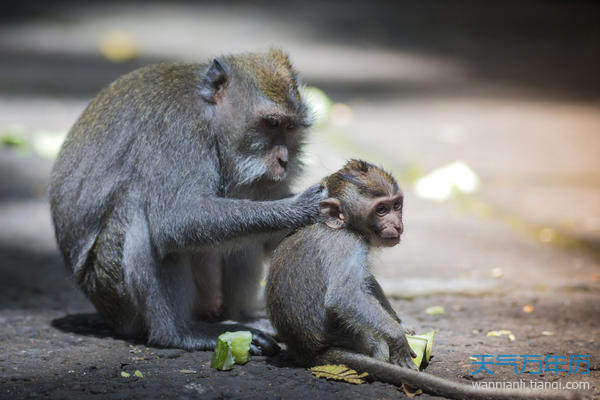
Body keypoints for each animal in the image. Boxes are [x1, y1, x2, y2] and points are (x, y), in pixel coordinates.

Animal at [49, 48, 326, 354]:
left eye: (291, 128)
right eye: (272, 123)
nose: (284, 160)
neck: (209, 114)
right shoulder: (178, 130)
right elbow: (176, 219)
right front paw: (300, 207)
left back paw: (240, 317)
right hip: (114, 295)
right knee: (141, 211)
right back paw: (179, 334)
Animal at [268, 160, 576, 400]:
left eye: (396, 205)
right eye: (381, 210)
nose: (396, 224)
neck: (344, 226)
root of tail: (308, 351)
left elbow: (366, 281)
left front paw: (400, 324)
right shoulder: (346, 244)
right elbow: (344, 296)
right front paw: (397, 338)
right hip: (352, 336)